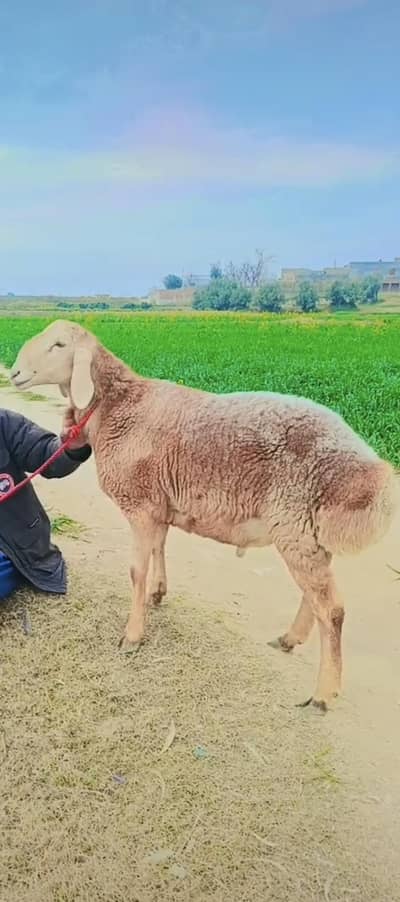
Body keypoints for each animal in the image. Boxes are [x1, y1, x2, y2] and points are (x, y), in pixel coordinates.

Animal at [10, 319, 397, 712]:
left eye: (59, 345)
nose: (14, 373)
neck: (118, 407)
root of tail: (368, 468)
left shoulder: (141, 503)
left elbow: (136, 571)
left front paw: (132, 635)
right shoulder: (158, 502)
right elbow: (159, 548)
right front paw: (157, 593)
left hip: (296, 523)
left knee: (332, 609)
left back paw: (323, 693)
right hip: (307, 531)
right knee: (316, 597)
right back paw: (290, 639)